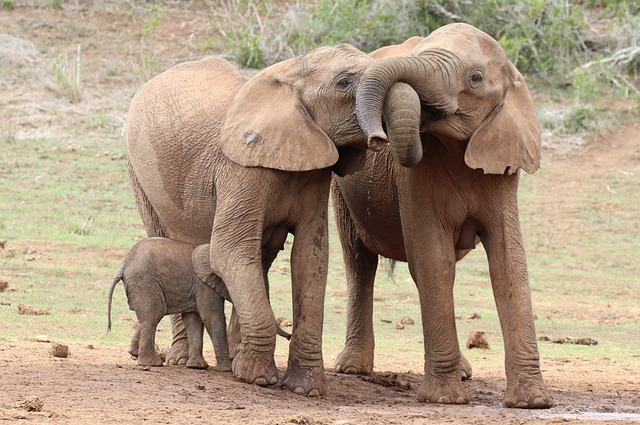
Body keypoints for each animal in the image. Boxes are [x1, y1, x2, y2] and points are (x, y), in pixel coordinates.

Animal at [107, 237, 230, 370]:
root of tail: (124, 264)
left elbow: (193, 319)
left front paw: (197, 366)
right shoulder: (204, 285)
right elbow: (212, 318)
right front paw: (225, 369)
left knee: (147, 318)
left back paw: (135, 353)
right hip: (145, 284)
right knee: (153, 317)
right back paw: (152, 363)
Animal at [124, 44, 380, 396]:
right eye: (343, 83)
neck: (288, 75)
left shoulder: (315, 171)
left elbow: (310, 257)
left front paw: (305, 389)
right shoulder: (240, 169)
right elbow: (229, 250)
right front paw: (258, 379)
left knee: (260, 256)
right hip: (139, 170)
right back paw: (178, 359)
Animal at [332, 24, 552, 408]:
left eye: (476, 78)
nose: (377, 139)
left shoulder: (503, 171)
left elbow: (508, 264)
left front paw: (532, 402)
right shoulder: (415, 176)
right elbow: (434, 260)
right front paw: (445, 399)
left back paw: (464, 372)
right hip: (343, 191)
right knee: (359, 262)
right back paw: (352, 369)